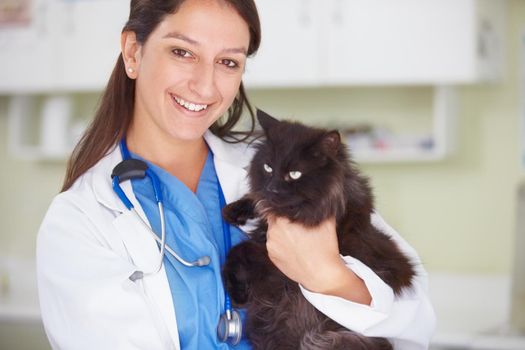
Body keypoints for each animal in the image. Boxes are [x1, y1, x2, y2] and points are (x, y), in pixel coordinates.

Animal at [223, 110, 416, 350]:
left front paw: (236, 291)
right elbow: (255, 205)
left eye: (294, 174)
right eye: (268, 168)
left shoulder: (274, 258)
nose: (272, 188)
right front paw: (235, 210)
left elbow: (240, 250)